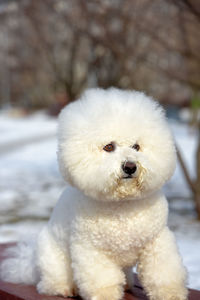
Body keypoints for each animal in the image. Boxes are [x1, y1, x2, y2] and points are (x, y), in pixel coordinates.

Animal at [0, 88, 188, 300]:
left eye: (136, 147)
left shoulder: (157, 241)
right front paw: (106, 296)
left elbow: (163, 272)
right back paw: (64, 288)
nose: (130, 166)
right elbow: (102, 280)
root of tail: (29, 266)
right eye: (109, 147)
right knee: (50, 282)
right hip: (53, 258)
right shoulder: (92, 250)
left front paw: (171, 294)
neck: (122, 206)